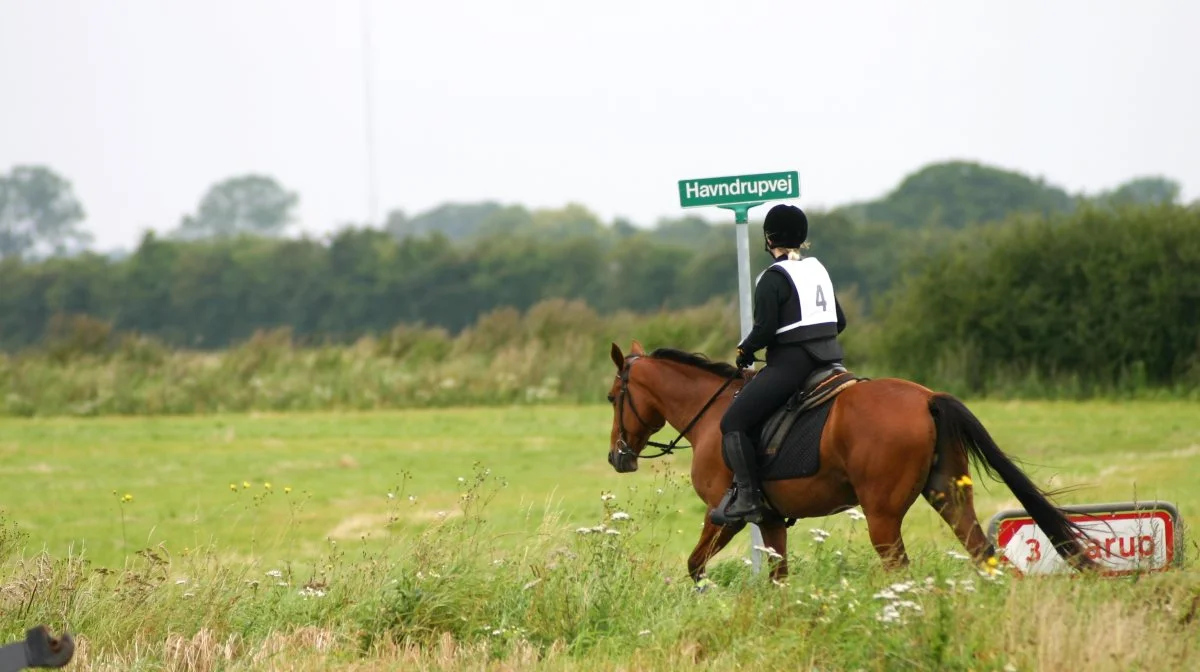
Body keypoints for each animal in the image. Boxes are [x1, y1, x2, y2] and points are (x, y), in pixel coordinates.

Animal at [604, 340, 1094, 583]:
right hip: (948, 498)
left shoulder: (723, 516)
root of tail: (927, 398)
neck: (710, 412)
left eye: (612, 398)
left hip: (882, 516)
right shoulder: (773, 520)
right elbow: (779, 577)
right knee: (985, 556)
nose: (616, 457)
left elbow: (695, 566)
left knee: (901, 570)